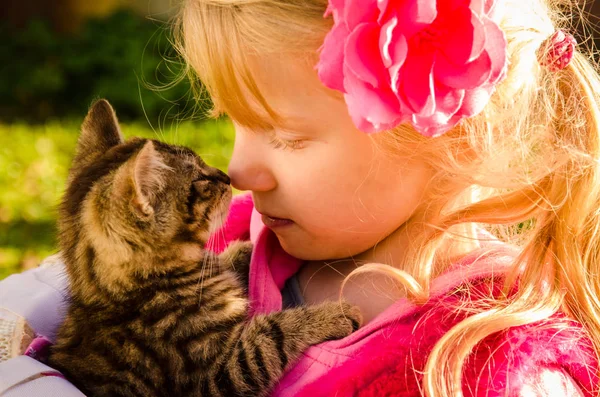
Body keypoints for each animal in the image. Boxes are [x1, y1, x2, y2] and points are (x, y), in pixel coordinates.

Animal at [48, 100, 360, 396]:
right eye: (200, 180)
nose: (226, 175)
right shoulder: (213, 377)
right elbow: (269, 336)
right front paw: (331, 316)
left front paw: (246, 249)